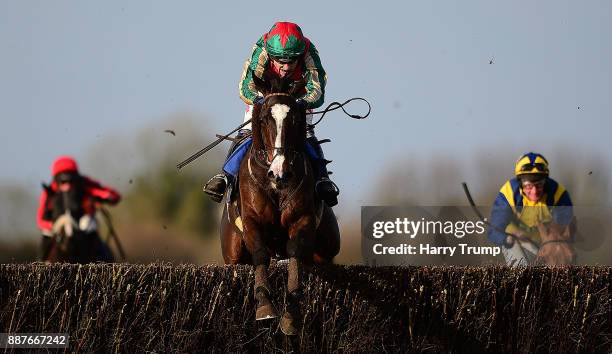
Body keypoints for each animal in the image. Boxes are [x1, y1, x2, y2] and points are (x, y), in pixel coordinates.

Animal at [220, 74, 342, 334]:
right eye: (265, 118)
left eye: (294, 118)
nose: (280, 172)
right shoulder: (252, 222)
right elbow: (260, 252)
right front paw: (264, 304)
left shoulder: (302, 220)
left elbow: (295, 251)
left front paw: (291, 313)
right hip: (232, 255)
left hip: (327, 248)